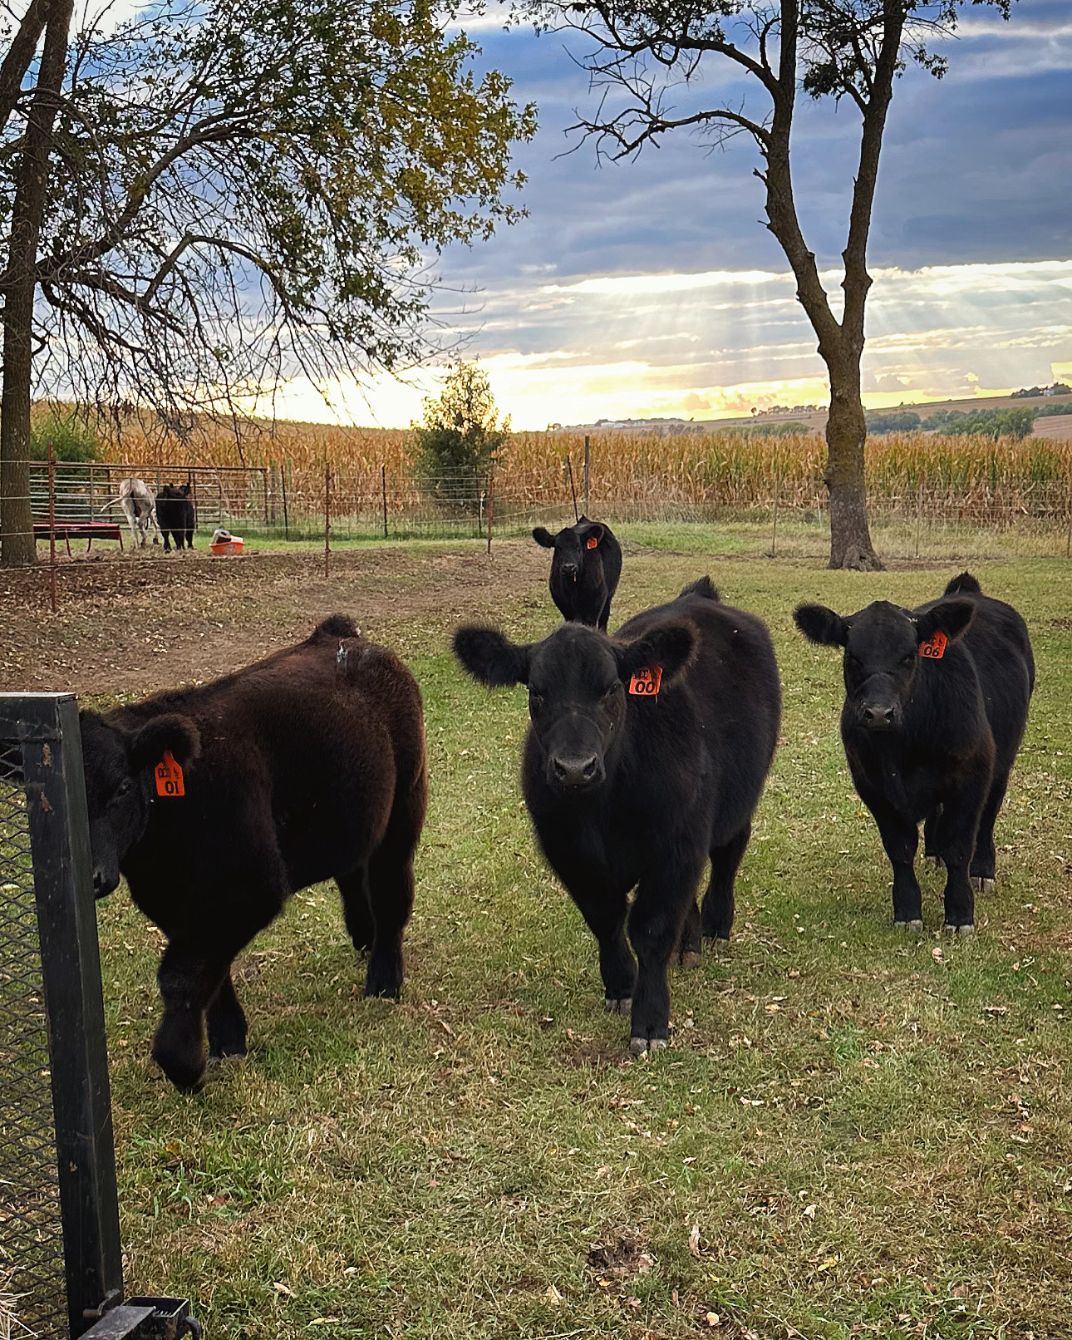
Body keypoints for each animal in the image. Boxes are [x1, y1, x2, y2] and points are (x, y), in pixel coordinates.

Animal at [79, 615, 427, 1092]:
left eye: (122, 788)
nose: (93, 876)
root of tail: (341, 635)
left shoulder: (251, 890)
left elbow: (181, 977)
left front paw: (182, 1063)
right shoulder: (177, 907)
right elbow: (210, 976)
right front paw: (227, 1042)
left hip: (405, 804)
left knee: (392, 889)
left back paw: (384, 980)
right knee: (353, 873)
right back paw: (364, 938)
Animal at [453, 577, 781, 1054]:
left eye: (611, 688)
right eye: (537, 692)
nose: (574, 768)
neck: (604, 811)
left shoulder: (676, 843)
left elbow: (652, 929)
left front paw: (650, 1021)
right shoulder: (568, 852)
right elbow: (606, 919)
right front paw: (622, 986)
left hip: (737, 800)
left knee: (727, 855)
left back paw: (716, 926)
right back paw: (689, 943)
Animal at [793, 572, 1034, 935]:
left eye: (909, 656)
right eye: (852, 658)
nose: (878, 713)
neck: (903, 750)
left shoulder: (970, 777)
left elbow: (959, 847)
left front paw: (960, 914)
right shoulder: (872, 787)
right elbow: (900, 849)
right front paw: (907, 911)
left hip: (1002, 761)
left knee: (989, 815)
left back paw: (982, 870)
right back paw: (933, 852)